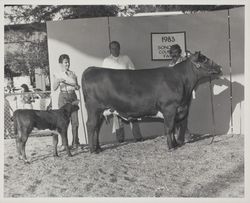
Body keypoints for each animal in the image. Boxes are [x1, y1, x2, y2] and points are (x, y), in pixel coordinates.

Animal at [82, 51, 223, 153]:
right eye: (204, 59)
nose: (219, 67)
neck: (182, 81)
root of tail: (91, 69)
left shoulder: (178, 110)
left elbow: (174, 128)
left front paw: (176, 144)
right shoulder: (169, 108)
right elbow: (169, 128)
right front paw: (171, 147)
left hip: (101, 111)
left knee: (96, 128)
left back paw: (98, 148)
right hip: (94, 109)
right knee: (91, 125)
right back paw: (92, 150)